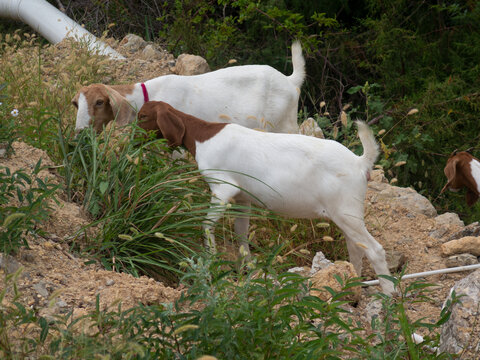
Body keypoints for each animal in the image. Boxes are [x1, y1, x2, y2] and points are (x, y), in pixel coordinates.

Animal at [137, 99, 396, 296]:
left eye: (143, 116)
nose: (133, 138)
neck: (202, 135)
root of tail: (360, 162)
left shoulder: (222, 188)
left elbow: (206, 225)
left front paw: (210, 262)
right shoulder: (242, 198)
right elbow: (241, 233)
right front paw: (246, 269)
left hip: (345, 211)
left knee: (375, 250)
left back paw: (388, 295)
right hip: (346, 214)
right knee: (356, 250)